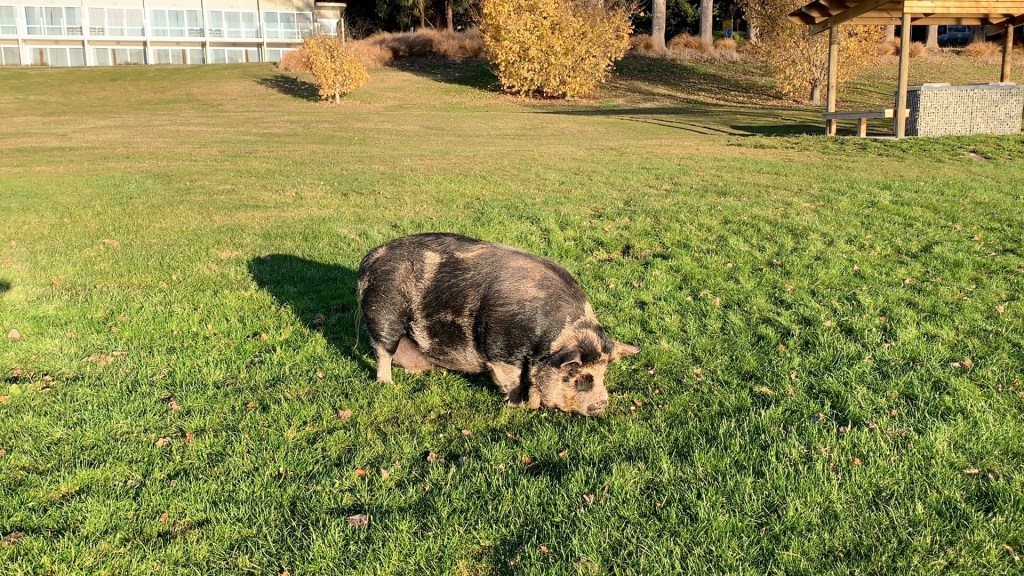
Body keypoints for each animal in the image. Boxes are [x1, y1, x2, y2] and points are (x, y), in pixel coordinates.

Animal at [357, 233, 639, 416]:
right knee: (382, 352)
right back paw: (387, 384)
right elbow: (511, 379)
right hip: (384, 314)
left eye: (604, 373)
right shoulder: (501, 347)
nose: (601, 404)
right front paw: (519, 407)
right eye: (579, 375)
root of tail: (370, 257)